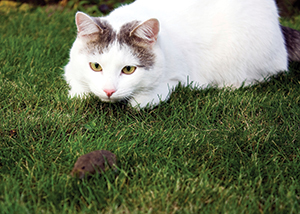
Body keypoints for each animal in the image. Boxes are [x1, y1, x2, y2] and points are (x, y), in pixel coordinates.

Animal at [63, 0, 300, 108]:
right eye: (96, 66)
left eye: (128, 69)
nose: (109, 91)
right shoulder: (71, 70)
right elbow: (77, 87)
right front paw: (80, 93)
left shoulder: (178, 76)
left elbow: (156, 92)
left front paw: (140, 100)